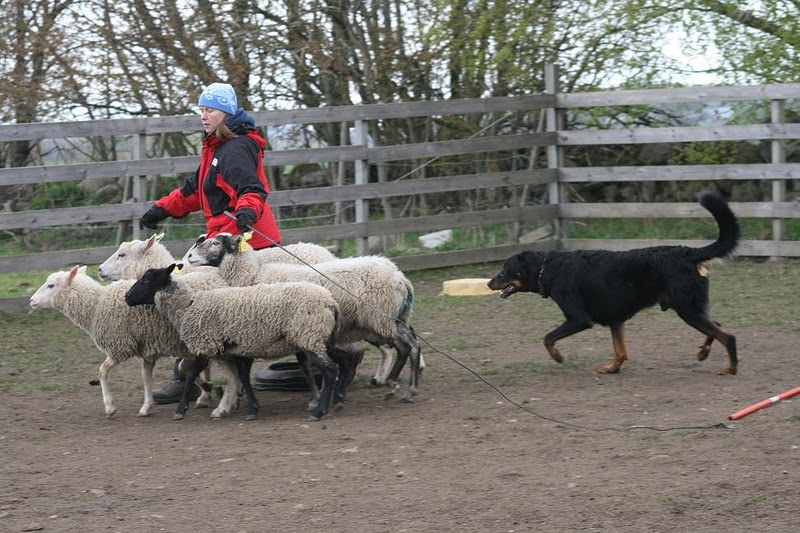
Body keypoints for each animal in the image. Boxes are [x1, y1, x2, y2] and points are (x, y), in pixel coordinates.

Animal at [29, 266, 199, 418]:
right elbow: (145, 377)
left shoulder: (120, 347)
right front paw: (146, 406)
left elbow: (102, 371)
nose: (31, 300)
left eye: (51, 285)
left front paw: (110, 407)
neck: (96, 306)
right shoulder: (148, 348)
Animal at [124, 263, 355, 421]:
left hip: (309, 336)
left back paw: (320, 411)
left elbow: (190, 375)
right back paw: (339, 399)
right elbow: (242, 376)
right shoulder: (238, 347)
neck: (188, 306)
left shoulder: (207, 344)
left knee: (330, 370)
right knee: (344, 360)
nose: (127, 297)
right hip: (318, 339)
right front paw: (252, 408)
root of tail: (330, 302)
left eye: (147, 280)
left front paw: (181, 410)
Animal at [186, 233, 422, 402]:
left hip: (379, 319)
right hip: (394, 319)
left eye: (216, 242)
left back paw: (391, 384)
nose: (188, 257)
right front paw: (318, 394)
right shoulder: (295, 330)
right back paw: (410, 389)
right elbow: (304, 364)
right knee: (413, 344)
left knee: (402, 348)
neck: (253, 275)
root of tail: (400, 278)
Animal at [487, 190, 740, 375]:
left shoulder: (578, 319)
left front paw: (558, 357)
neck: (548, 269)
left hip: (687, 309)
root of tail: (688, 252)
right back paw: (703, 352)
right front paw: (612, 368)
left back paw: (730, 368)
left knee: (728, 336)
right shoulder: (615, 319)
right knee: (717, 325)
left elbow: (548, 338)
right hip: (692, 307)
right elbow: (621, 351)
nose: (489, 283)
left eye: (505, 268)